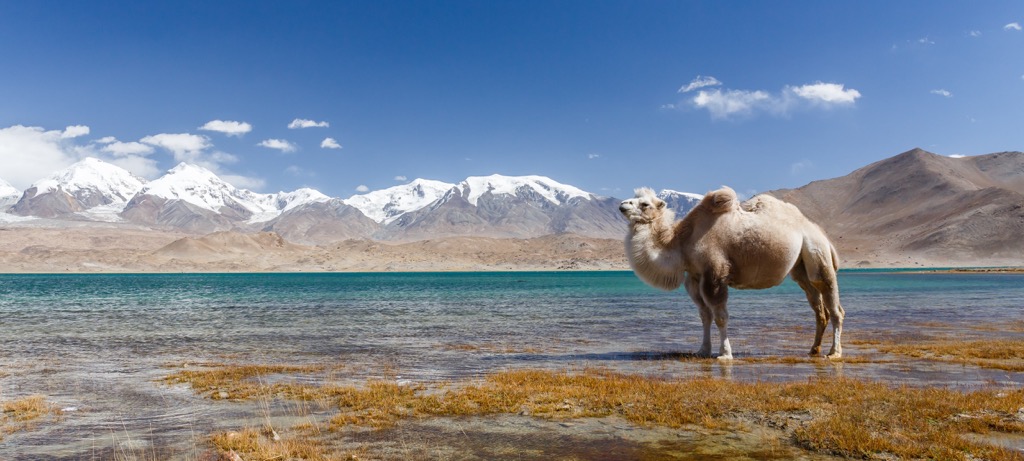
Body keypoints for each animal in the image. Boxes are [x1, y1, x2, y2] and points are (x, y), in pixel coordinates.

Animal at [619, 186, 844, 360]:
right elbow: (705, 315)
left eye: (645, 204)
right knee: (817, 305)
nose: (622, 204)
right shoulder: (694, 278)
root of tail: (819, 232)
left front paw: (725, 354)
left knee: (833, 305)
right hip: (800, 266)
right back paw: (813, 350)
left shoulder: (715, 274)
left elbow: (720, 316)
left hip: (818, 251)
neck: (681, 244)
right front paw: (703, 350)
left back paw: (834, 352)